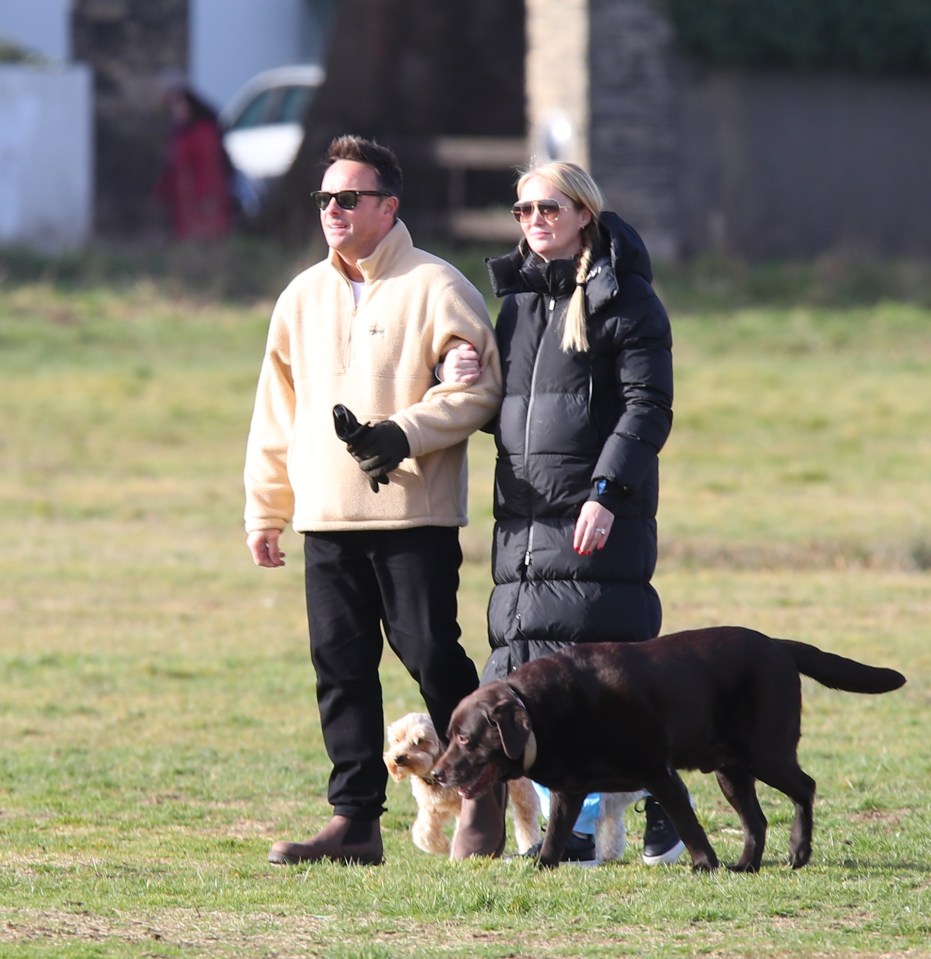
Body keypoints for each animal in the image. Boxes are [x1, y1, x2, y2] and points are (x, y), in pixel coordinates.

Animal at [386, 712, 548, 856]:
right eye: (397, 740)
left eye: (419, 741)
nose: (398, 758)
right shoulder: (432, 808)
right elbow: (423, 835)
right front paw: (444, 847)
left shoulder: (461, 808)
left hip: (523, 791)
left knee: (526, 819)